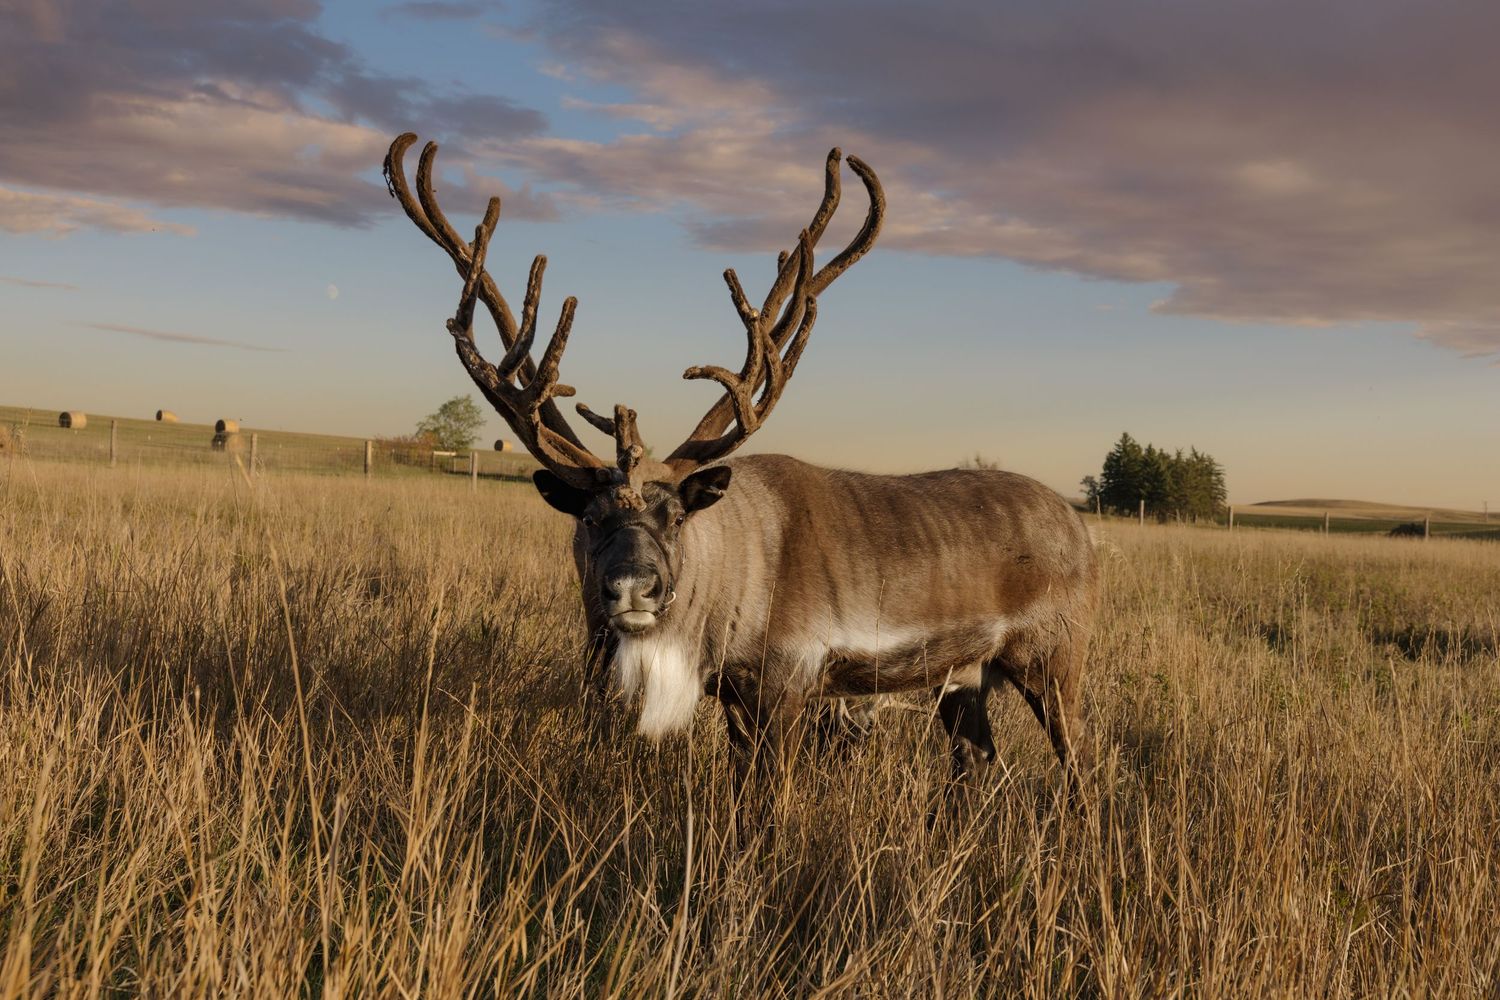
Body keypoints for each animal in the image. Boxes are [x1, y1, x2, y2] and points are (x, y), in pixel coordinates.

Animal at [383, 133, 1099, 818]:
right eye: (588, 516)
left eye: (676, 516)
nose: (633, 588)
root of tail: (1078, 526)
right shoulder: (733, 697)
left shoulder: (788, 685)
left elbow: (768, 805)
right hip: (965, 677)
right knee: (976, 759)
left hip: (1054, 658)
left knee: (1079, 763)